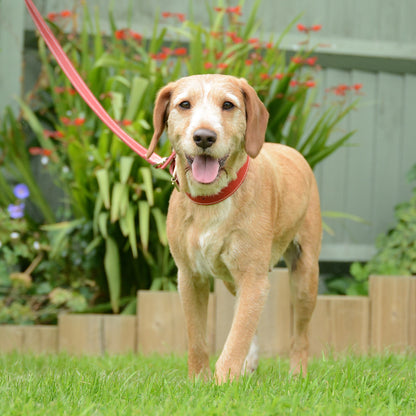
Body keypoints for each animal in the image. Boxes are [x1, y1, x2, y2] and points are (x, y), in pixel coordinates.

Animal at [146, 75, 322, 384]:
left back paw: (297, 374)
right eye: (184, 104)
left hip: (304, 276)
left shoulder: (252, 277)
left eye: (228, 105)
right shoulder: (189, 277)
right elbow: (199, 340)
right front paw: (198, 381)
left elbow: (236, 339)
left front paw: (224, 383)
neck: (212, 199)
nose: (204, 137)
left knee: (299, 336)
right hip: (233, 282)